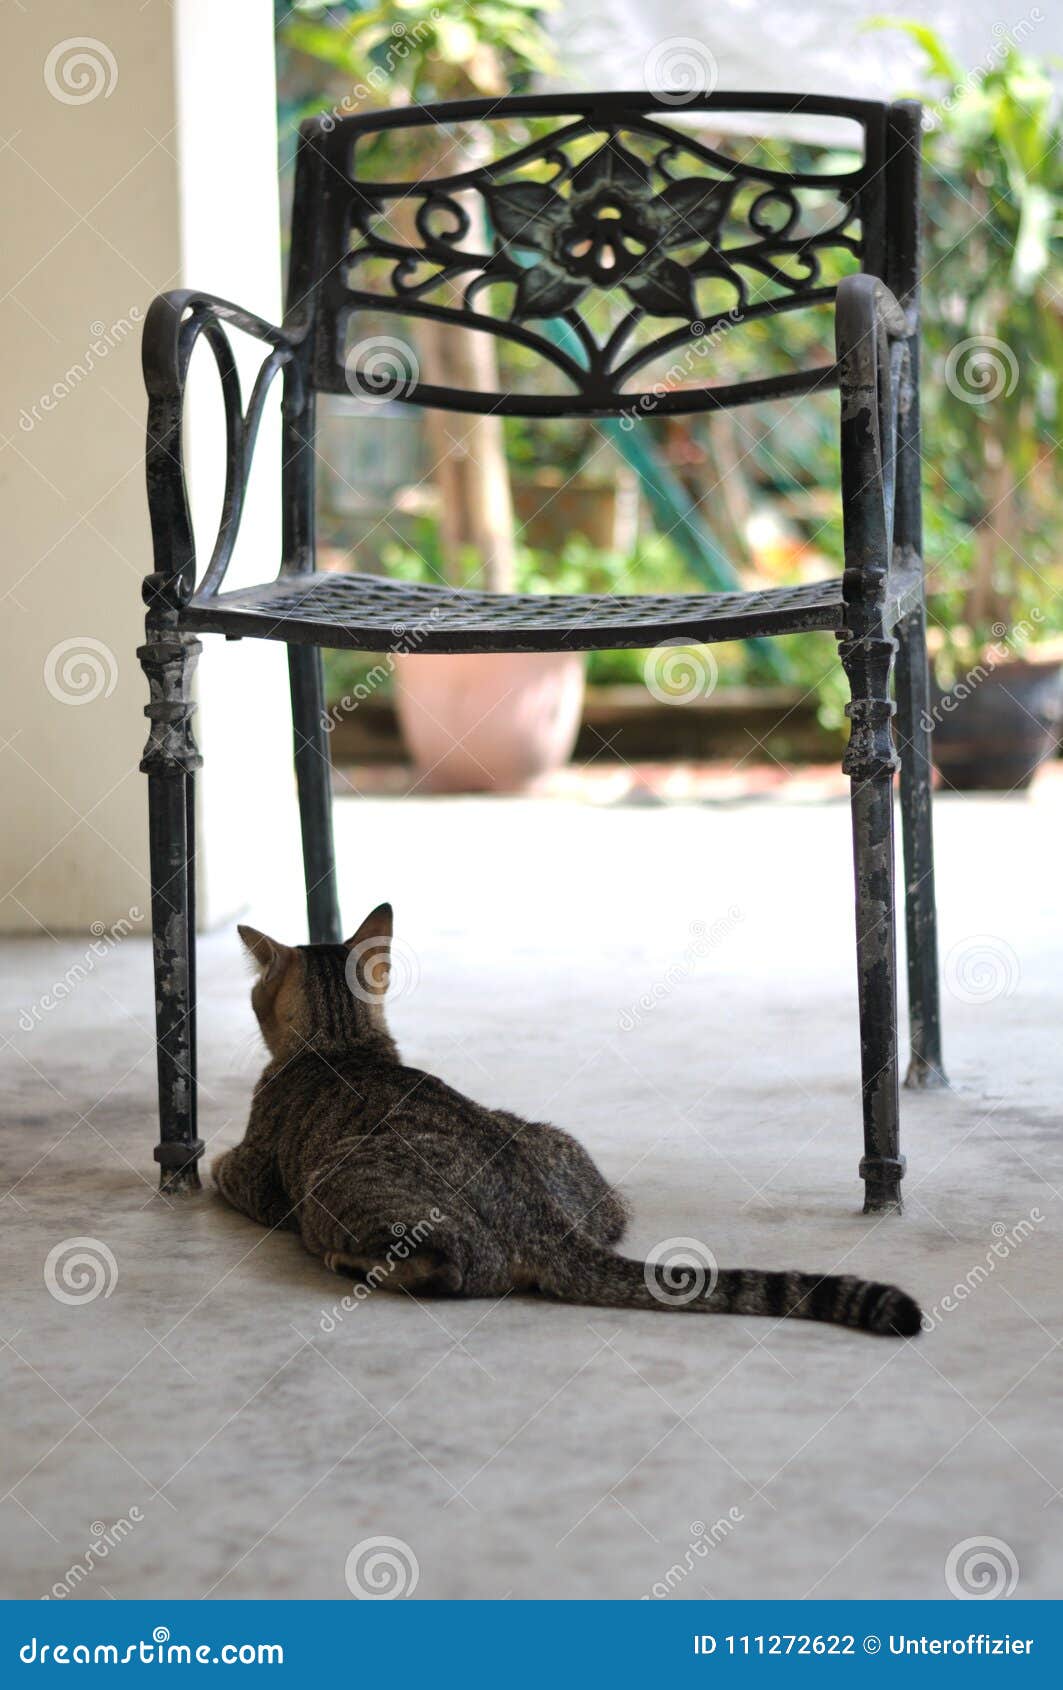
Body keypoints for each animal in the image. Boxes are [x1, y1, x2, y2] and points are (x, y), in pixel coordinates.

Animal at [211, 905, 919, 1338]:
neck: (342, 1042)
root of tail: (546, 1221)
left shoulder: (257, 1174)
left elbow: (220, 1168)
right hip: (556, 1147)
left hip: (332, 1187)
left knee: (452, 1269)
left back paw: (345, 1259)